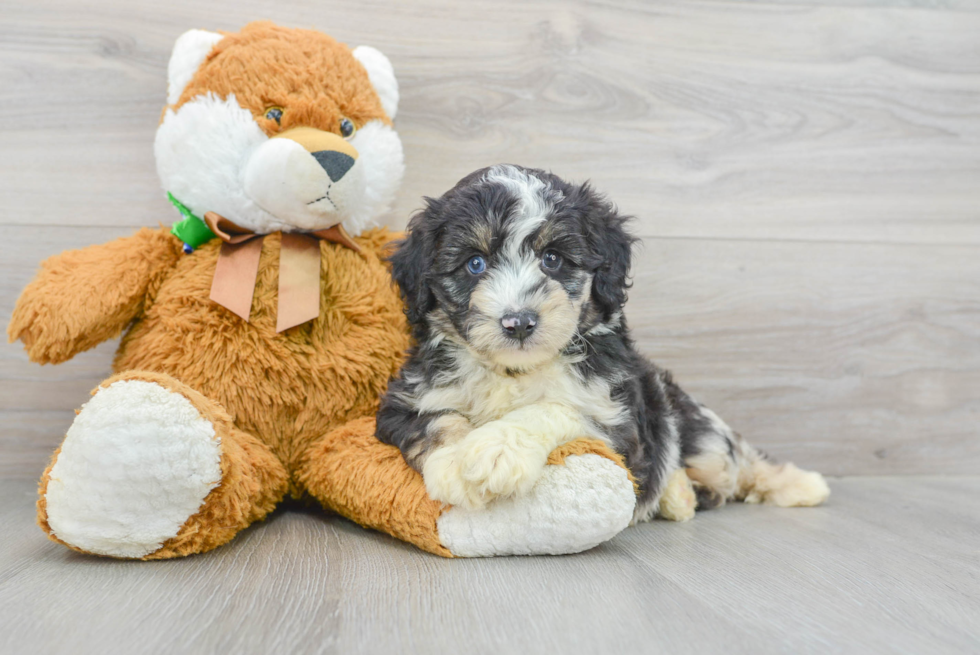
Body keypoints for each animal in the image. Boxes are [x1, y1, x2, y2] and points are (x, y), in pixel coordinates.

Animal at [376, 165, 828, 524]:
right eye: (475, 264)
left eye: (553, 259)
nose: (519, 322)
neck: (514, 370)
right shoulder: (405, 402)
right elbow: (439, 422)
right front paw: (454, 464)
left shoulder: (616, 420)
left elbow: (554, 408)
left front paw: (496, 451)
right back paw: (679, 495)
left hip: (700, 437)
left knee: (736, 464)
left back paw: (798, 485)